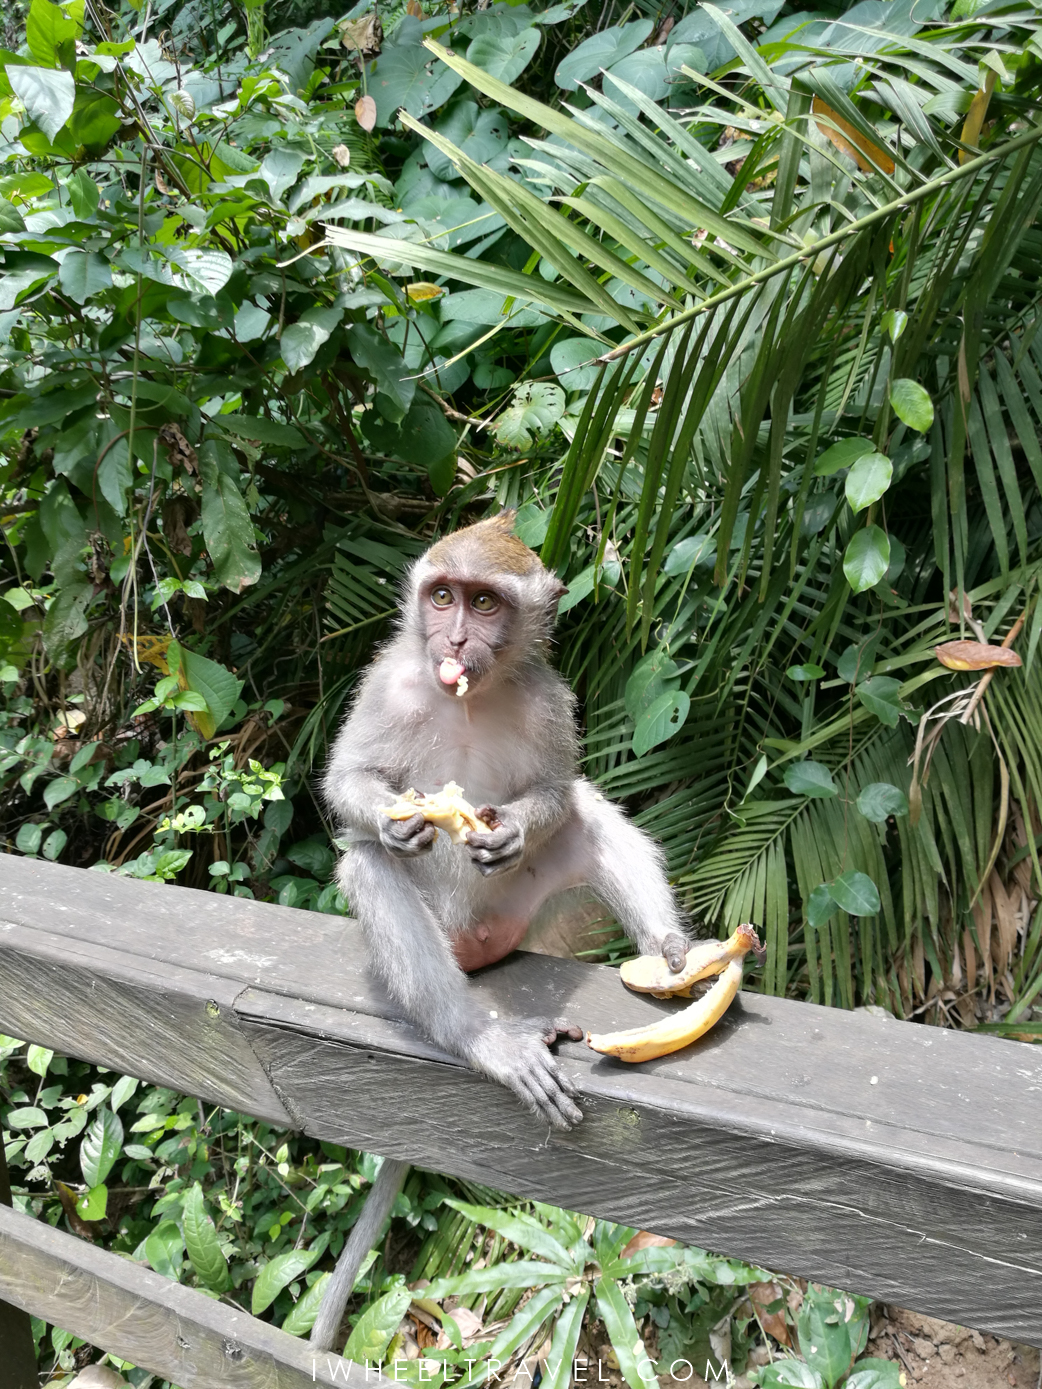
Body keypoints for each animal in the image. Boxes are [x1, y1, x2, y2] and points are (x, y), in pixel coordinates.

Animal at [323, 513, 690, 1130]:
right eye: (442, 597)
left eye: (484, 603)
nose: (455, 641)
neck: (469, 697)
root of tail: (476, 943)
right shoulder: (385, 682)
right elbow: (348, 777)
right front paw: (396, 824)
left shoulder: (548, 698)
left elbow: (556, 790)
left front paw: (511, 832)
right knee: (370, 865)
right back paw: (474, 1034)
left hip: (518, 907)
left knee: (587, 815)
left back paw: (666, 946)